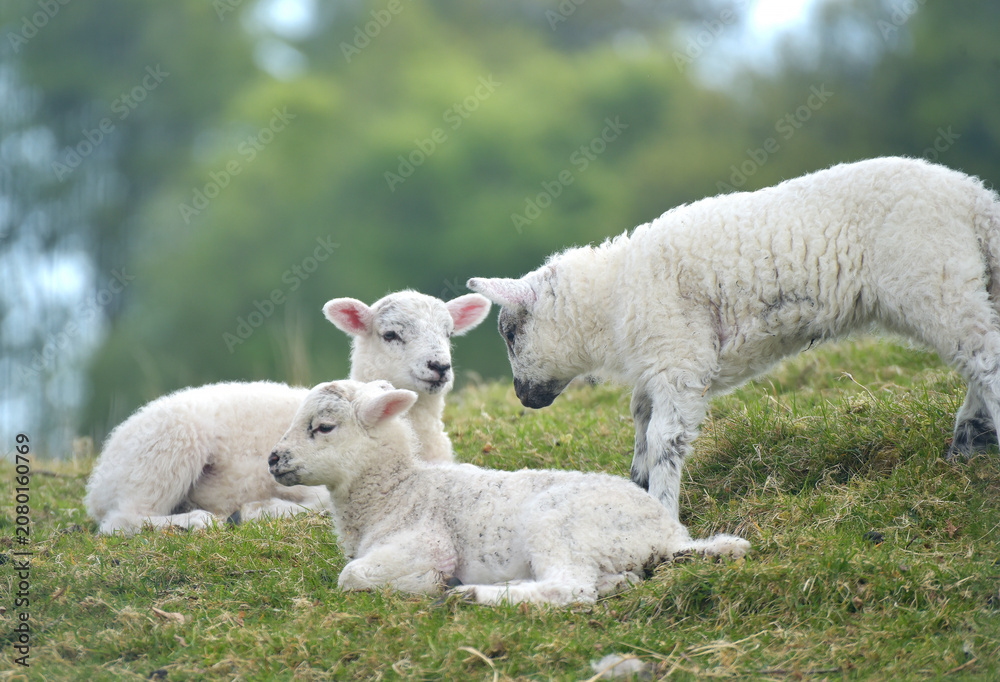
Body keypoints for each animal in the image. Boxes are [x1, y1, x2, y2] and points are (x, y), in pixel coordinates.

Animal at [268, 379, 750, 606]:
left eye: (323, 427)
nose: (273, 458)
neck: (396, 490)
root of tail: (670, 534)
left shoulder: (426, 540)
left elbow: (351, 576)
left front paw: (425, 584)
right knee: (605, 581)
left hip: (560, 524)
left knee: (570, 589)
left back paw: (473, 595)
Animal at [467, 156, 1000, 535]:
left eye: (509, 334)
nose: (522, 398)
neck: (612, 296)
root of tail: (973, 197)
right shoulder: (660, 362)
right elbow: (640, 419)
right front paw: (637, 484)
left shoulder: (678, 356)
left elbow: (664, 438)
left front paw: (663, 512)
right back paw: (969, 440)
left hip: (934, 279)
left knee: (985, 356)